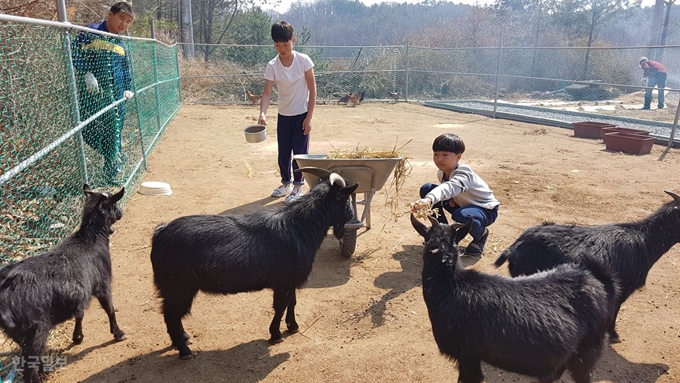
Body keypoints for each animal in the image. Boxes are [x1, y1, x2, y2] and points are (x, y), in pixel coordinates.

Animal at [0, 184, 127, 382]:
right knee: (29, 366)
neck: (91, 239)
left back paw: (45, 369)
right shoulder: (102, 283)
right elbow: (110, 309)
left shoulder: (80, 292)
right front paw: (118, 333)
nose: (120, 213)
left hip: (17, 332)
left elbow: (79, 313)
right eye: (114, 204)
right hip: (36, 328)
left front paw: (77, 337)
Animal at [151, 168, 358, 360]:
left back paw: (184, 339)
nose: (351, 215)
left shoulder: (290, 281)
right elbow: (280, 306)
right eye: (346, 198)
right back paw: (184, 350)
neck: (299, 227)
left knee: (172, 315)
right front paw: (275, 335)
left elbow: (292, 302)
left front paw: (293, 326)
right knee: (171, 315)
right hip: (180, 287)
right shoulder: (282, 283)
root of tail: (161, 232)